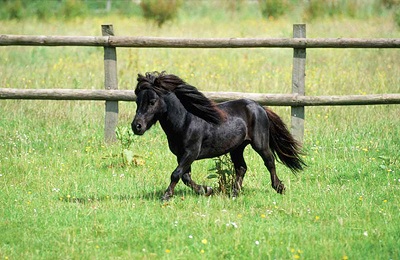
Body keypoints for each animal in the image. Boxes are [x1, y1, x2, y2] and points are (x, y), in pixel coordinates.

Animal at [132, 71, 306, 201]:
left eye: (152, 101)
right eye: (137, 101)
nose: (136, 126)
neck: (185, 121)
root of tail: (260, 107)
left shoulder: (191, 153)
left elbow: (176, 174)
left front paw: (166, 196)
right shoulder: (181, 155)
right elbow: (185, 176)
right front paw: (207, 190)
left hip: (260, 144)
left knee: (269, 162)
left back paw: (279, 187)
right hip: (237, 147)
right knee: (241, 167)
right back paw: (234, 194)